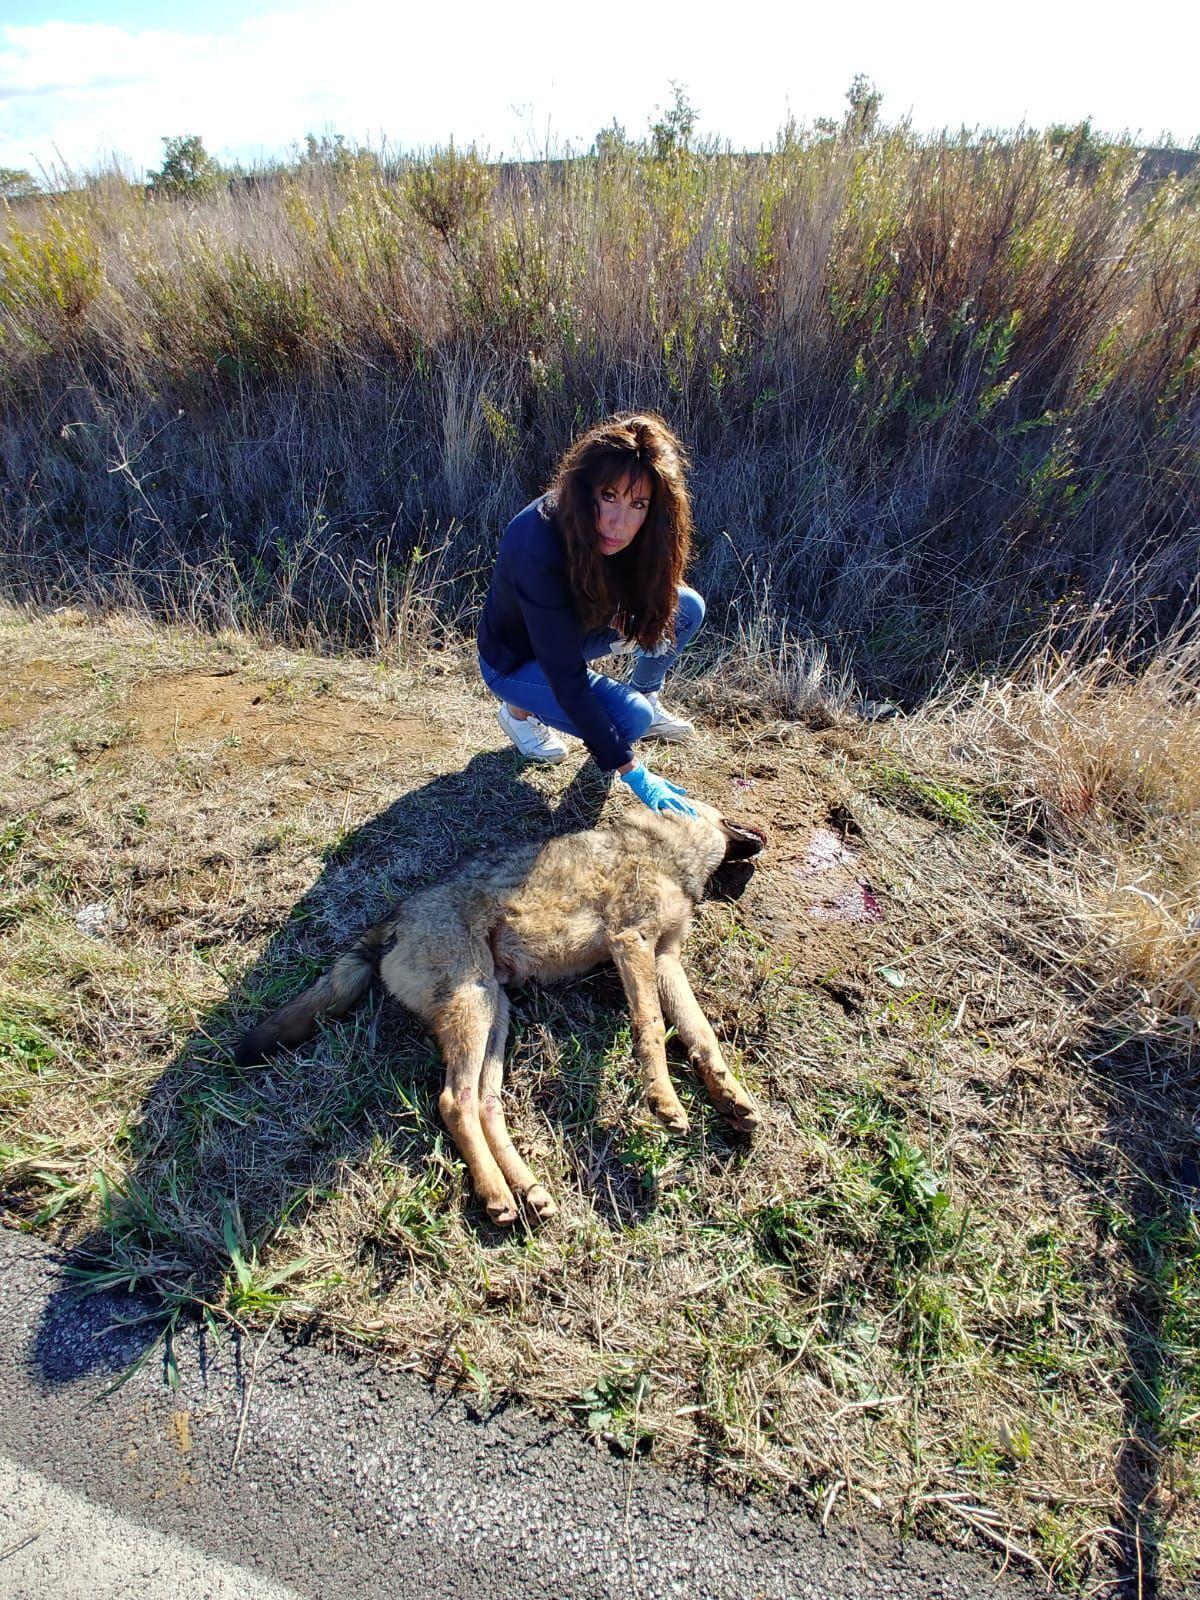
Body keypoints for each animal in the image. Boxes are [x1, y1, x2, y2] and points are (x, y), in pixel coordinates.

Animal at [235, 800, 766, 1225]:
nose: (766, 831)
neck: (665, 847)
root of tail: (394, 918)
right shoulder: (631, 942)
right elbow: (653, 1030)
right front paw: (665, 1102)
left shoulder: (665, 958)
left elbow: (702, 1035)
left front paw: (733, 1097)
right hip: (476, 1009)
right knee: (453, 1101)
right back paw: (495, 1194)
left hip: (495, 1016)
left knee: (486, 1103)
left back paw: (529, 1191)